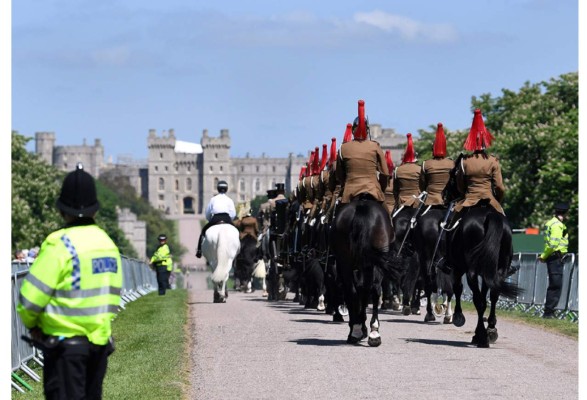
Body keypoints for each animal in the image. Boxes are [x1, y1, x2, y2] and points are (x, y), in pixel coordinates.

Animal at [334, 198, 398, 346]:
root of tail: (362, 207)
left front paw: (358, 326)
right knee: (372, 289)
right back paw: (372, 332)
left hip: (346, 263)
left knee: (354, 291)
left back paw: (359, 331)